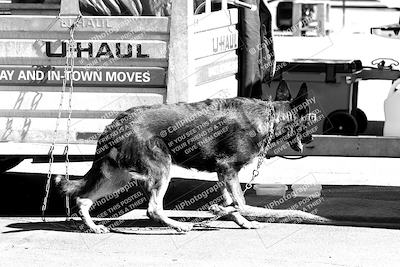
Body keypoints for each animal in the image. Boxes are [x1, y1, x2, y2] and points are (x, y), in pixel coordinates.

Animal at [56, 82, 318, 234]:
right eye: (310, 120)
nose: (313, 139)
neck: (271, 118)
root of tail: (116, 123)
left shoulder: (223, 174)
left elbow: (234, 204)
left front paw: (238, 220)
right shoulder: (228, 169)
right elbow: (241, 202)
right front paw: (220, 210)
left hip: (117, 176)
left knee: (83, 200)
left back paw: (93, 226)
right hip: (161, 169)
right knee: (153, 209)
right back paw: (180, 226)